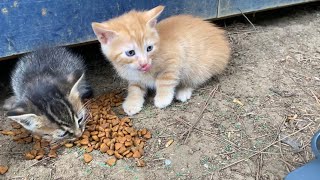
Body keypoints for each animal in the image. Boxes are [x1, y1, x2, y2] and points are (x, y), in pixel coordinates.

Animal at [92, 5, 230, 115]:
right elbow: (134, 88)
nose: (144, 63)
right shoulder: (134, 77)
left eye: (149, 48)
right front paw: (132, 103)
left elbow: (165, 81)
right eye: (130, 53)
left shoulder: (175, 58)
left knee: (196, 78)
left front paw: (163, 98)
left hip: (198, 65)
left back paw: (184, 90)